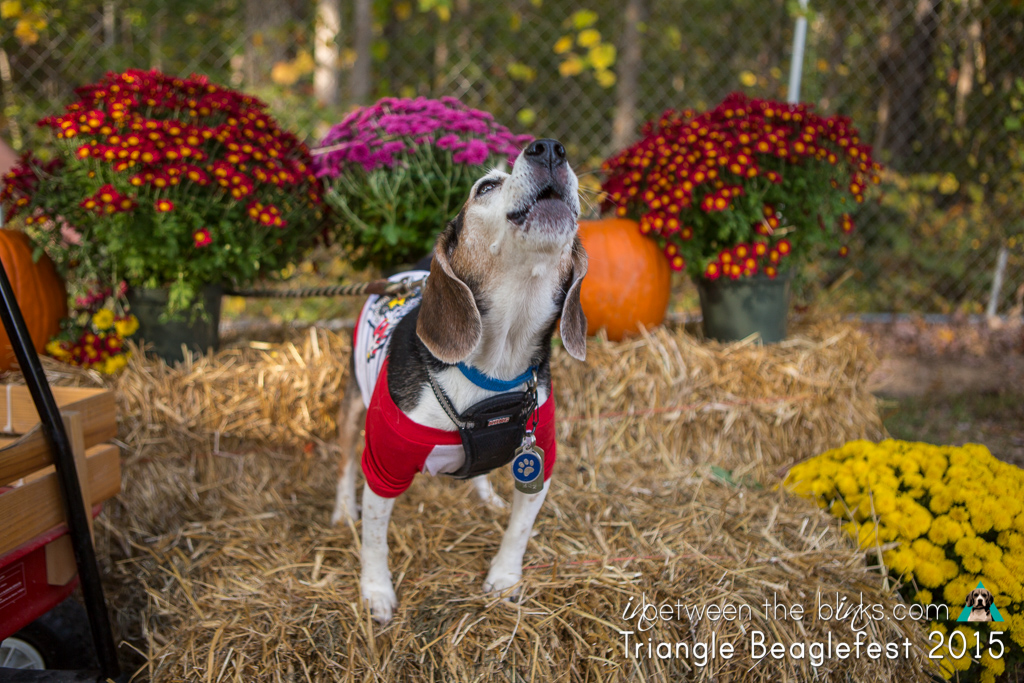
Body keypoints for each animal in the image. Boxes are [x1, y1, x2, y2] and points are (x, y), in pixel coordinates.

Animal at [331, 138, 586, 624]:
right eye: (485, 187)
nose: (550, 148)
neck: (493, 372)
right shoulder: (384, 467)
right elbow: (374, 538)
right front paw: (376, 591)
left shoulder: (539, 462)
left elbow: (519, 532)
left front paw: (504, 581)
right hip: (353, 407)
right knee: (346, 464)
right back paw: (340, 510)